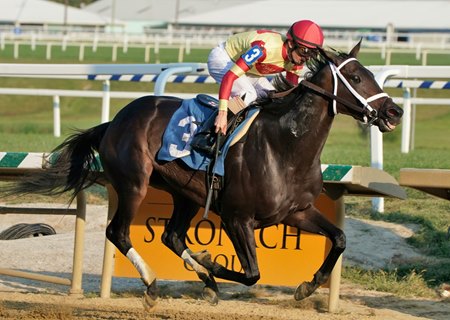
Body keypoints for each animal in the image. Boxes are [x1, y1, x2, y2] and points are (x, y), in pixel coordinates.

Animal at [4, 42, 404, 308]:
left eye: (372, 74)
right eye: (356, 76)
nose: (395, 112)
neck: (285, 148)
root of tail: (114, 120)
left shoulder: (296, 211)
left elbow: (339, 238)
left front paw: (308, 285)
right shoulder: (237, 217)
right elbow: (251, 273)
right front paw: (211, 261)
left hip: (183, 193)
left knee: (171, 236)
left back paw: (201, 278)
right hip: (134, 184)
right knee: (118, 232)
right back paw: (155, 284)